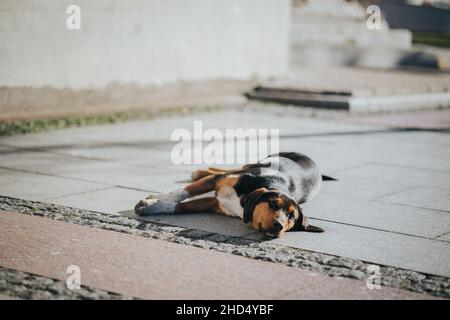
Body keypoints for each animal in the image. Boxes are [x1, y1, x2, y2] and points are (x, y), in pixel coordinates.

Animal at [134, 152, 334, 238]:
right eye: (272, 204)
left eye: (292, 216)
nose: (279, 225)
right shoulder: (217, 181)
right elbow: (182, 192)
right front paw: (154, 202)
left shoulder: (214, 204)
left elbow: (182, 207)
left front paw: (153, 206)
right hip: (254, 163)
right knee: (226, 169)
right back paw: (199, 171)